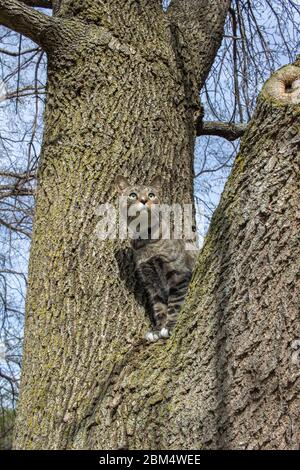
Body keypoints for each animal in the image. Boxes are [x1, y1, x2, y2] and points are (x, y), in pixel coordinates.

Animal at [115, 175, 197, 342]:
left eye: (151, 194)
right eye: (133, 195)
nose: (144, 200)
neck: (147, 242)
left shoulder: (178, 274)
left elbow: (175, 302)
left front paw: (170, 326)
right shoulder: (151, 282)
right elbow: (159, 307)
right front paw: (157, 329)